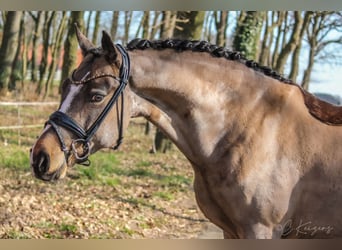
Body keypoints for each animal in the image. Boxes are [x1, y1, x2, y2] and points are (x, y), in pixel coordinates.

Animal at [30, 27, 342, 238]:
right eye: (65, 88)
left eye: (96, 95)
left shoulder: (261, 230)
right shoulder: (231, 232)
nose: (41, 157)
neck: (247, 128)